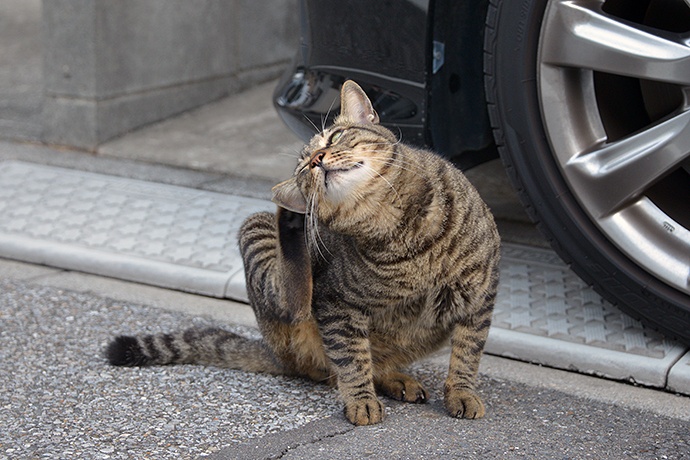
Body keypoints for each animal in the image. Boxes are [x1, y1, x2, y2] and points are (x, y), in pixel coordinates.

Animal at [110, 80, 502, 428]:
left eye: (334, 138)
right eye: (302, 168)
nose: (316, 159)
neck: (397, 222)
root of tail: (274, 351)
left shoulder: (481, 293)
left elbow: (467, 353)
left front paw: (462, 394)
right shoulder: (336, 302)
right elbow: (352, 359)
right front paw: (361, 402)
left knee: (377, 362)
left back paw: (396, 379)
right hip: (259, 235)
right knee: (297, 302)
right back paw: (292, 223)